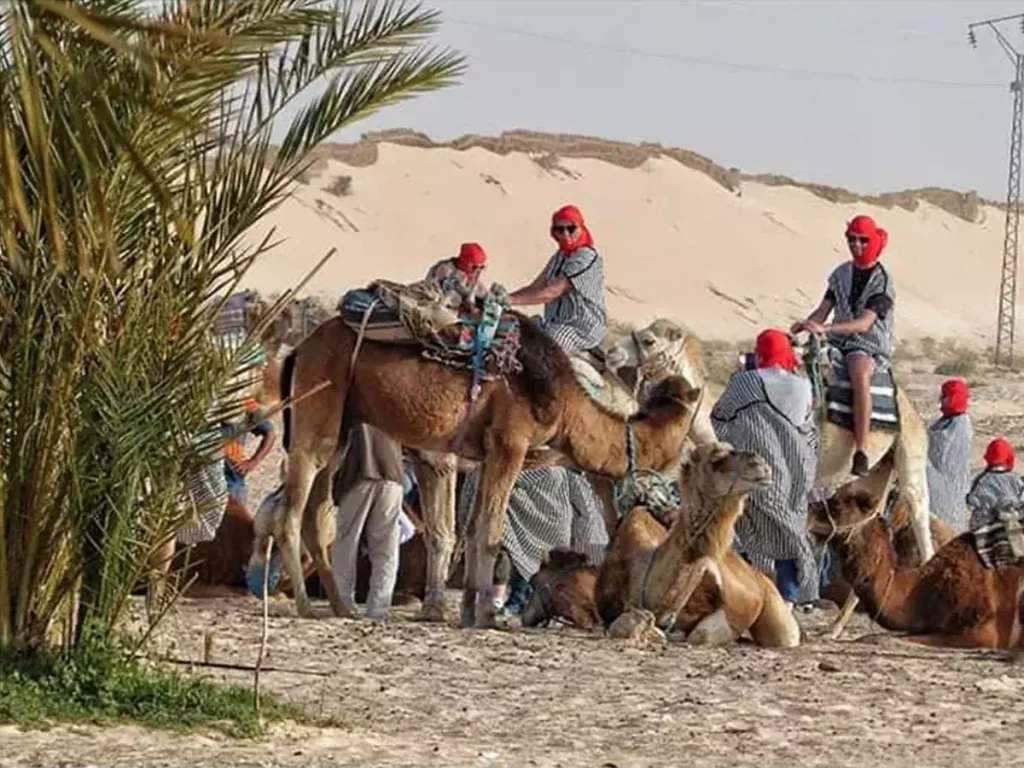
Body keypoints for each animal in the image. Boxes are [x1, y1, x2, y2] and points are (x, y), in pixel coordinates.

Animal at [258, 315, 704, 626]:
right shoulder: (510, 444)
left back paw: (340, 605)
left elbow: (470, 532)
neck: (568, 404)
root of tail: (301, 348)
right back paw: (305, 605)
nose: (693, 455)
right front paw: (487, 617)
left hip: (343, 424)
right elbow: (489, 534)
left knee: (316, 513)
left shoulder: (484, 456)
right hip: (319, 406)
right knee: (291, 512)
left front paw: (469, 611)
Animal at [528, 442, 798, 647]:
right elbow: (622, 626)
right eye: (716, 460)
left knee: (786, 635)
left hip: (773, 605)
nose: (761, 465)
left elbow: (700, 634)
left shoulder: (728, 611)